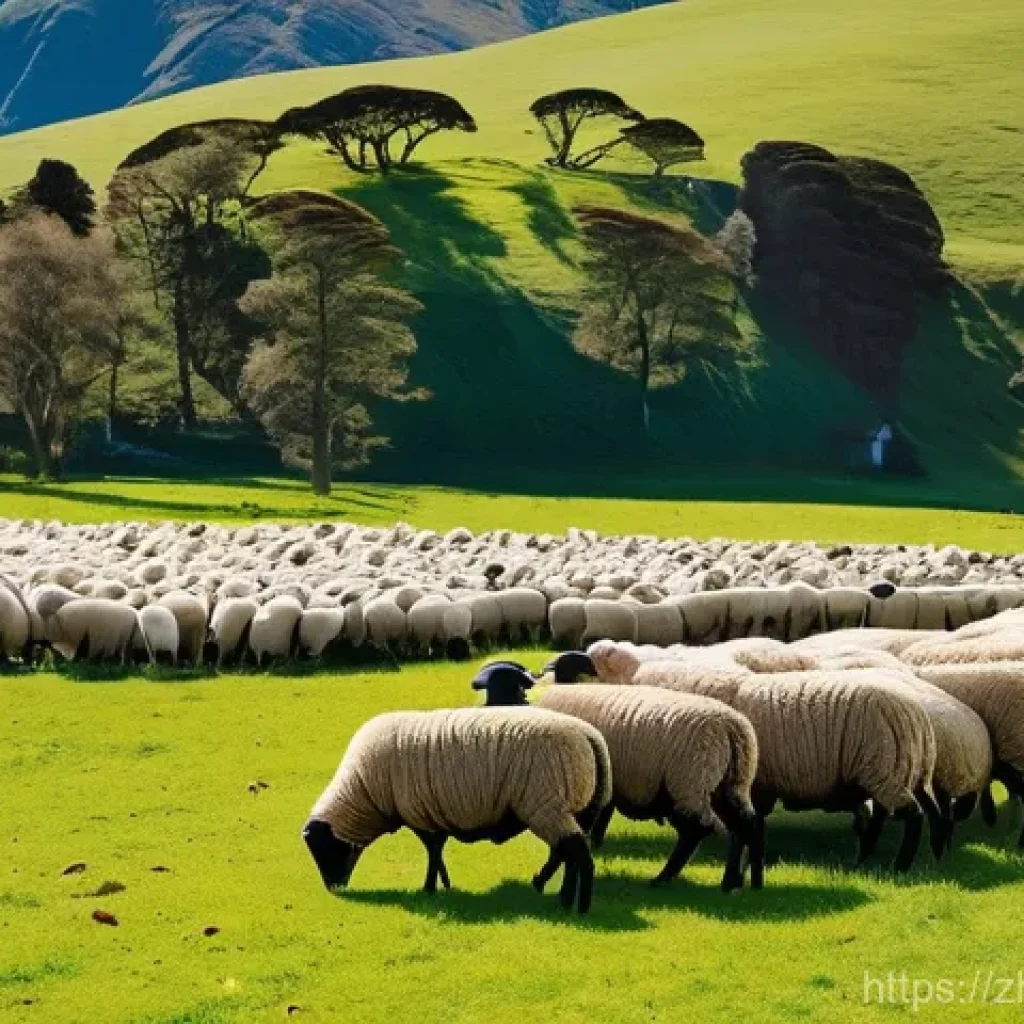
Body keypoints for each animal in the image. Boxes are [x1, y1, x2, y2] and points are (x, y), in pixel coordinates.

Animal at [302, 706, 612, 913]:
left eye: (323, 849)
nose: (333, 888)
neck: (365, 791)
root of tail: (588, 736)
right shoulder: (429, 813)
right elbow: (436, 849)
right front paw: (442, 884)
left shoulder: (418, 814)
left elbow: (432, 849)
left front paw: (430, 887)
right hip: (574, 807)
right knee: (567, 853)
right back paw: (555, 891)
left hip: (546, 804)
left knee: (576, 853)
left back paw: (576, 906)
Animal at [476, 664, 758, 891]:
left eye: (496, 692)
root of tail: (730, 726)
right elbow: (600, 818)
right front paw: (595, 845)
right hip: (730, 783)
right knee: (743, 825)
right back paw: (737, 881)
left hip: (688, 782)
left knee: (696, 830)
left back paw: (665, 878)